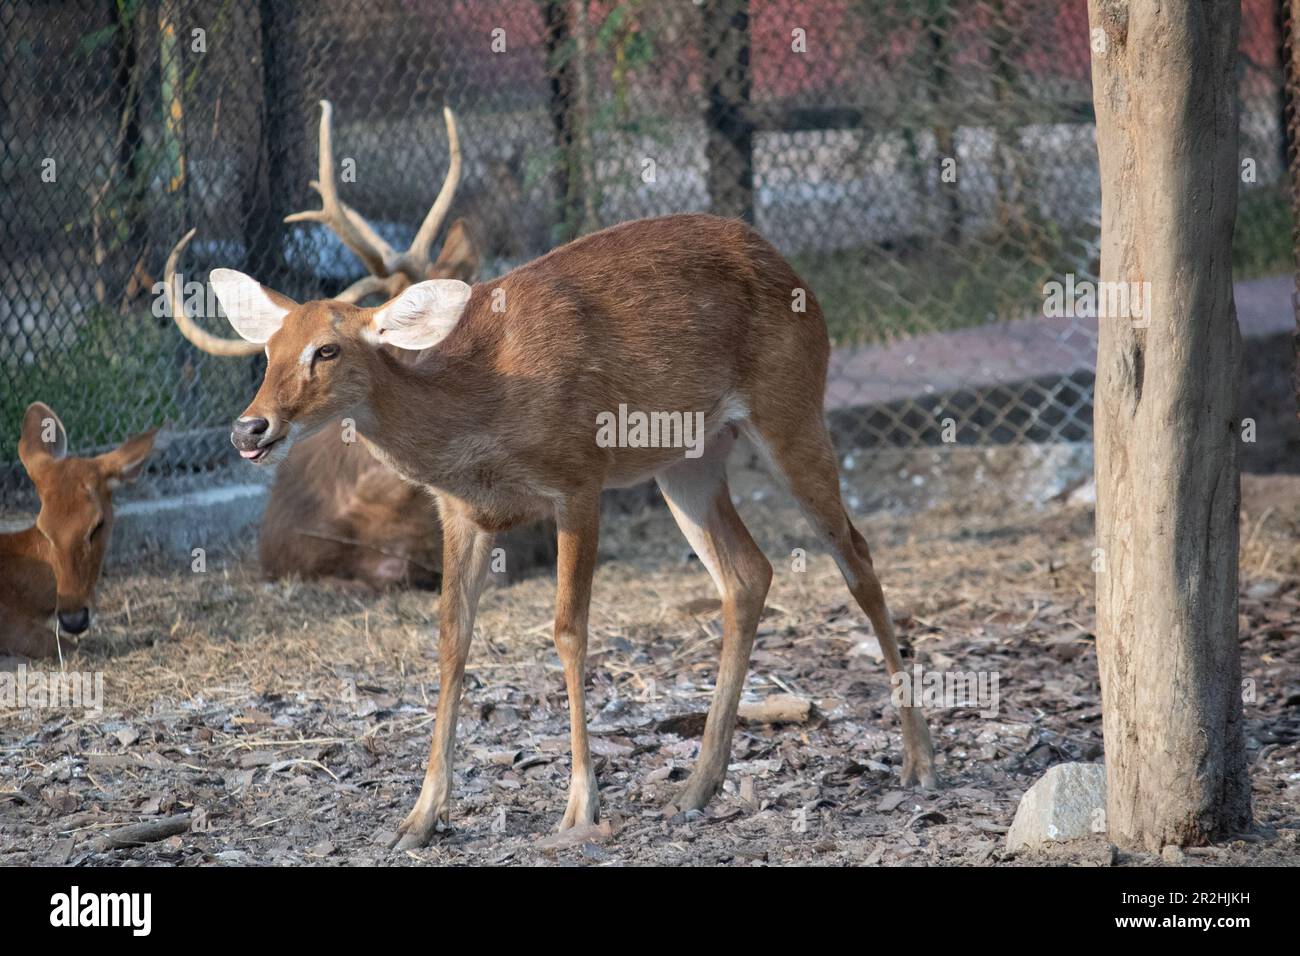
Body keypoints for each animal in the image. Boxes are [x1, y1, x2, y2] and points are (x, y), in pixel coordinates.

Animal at [202, 209, 935, 842]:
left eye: (327, 350)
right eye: (267, 351)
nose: (249, 427)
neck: (482, 403)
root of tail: (786, 263)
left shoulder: (579, 477)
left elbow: (568, 631)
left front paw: (580, 806)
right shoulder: (460, 512)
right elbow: (452, 640)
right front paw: (419, 818)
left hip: (792, 408)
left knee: (856, 555)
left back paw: (918, 761)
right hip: (688, 460)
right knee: (749, 573)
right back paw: (697, 786)